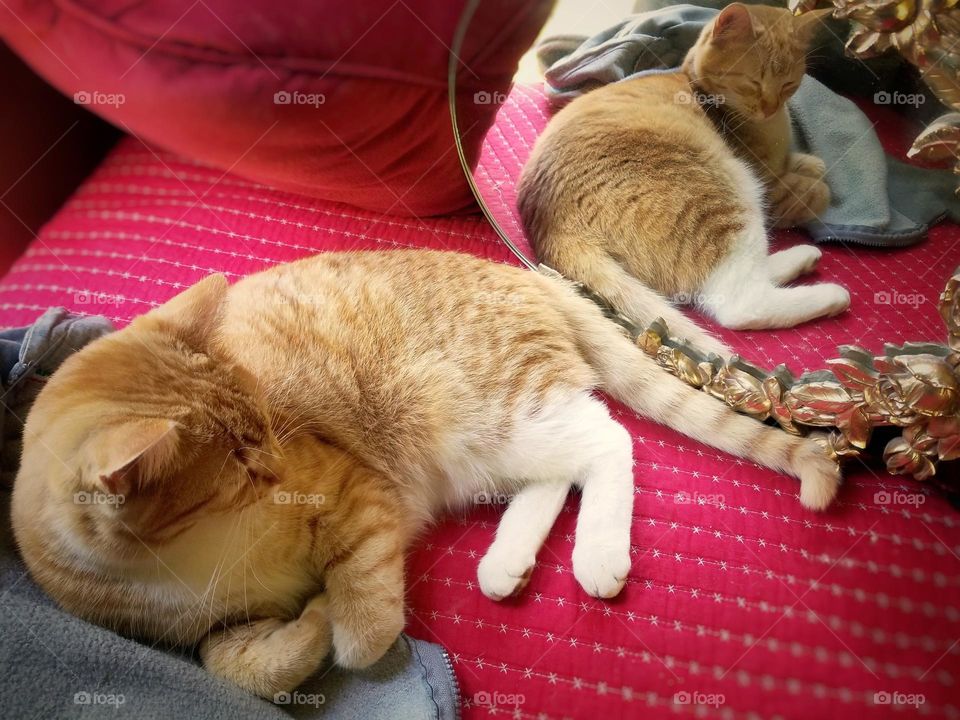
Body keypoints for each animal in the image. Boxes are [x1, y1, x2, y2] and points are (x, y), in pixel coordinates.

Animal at [9, 252, 840, 696]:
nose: (275, 463)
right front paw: (297, 632)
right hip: (496, 446)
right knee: (558, 473)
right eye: (241, 465)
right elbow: (242, 667)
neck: (193, 565)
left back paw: (599, 553)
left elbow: (365, 627)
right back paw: (507, 563)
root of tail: (532, 275)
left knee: (609, 444)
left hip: (488, 413)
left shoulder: (360, 494)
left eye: (266, 432)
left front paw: (331, 618)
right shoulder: (197, 634)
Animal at [516, 2, 848, 334]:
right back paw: (830, 293)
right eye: (752, 82)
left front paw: (810, 162)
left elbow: (809, 165)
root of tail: (554, 227)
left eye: (789, 84)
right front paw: (818, 183)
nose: (770, 107)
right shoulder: (768, 182)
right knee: (738, 303)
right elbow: (817, 190)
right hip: (729, 197)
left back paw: (803, 258)